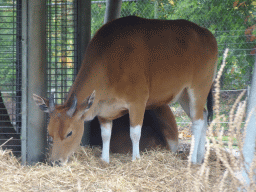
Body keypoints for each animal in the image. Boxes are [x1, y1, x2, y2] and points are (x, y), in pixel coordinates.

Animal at [33, 15, 218, 164]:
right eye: (49, 133)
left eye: (70, 133)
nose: (55, 161)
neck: (109, 64)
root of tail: (208, 35)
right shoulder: (103, 109)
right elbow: (105, 134)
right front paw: (104, 159)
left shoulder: (138, 101)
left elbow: (135, 133)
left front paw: (136, 159)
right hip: (183, 94)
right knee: (203, 116)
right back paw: (201, 157)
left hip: (199, 88)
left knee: (197, 122)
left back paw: (193, 159)